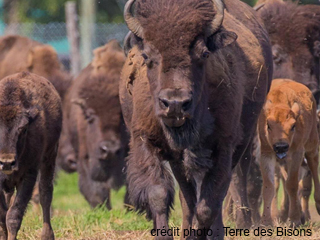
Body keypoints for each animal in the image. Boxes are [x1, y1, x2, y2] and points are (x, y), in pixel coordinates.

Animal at [0, 71, 62, 240]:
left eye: (23, 129)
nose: (7, 162)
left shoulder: (28, 175)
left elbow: (14, 215)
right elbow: (2, 213)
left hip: (49, 157)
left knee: (45, 193)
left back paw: (47, 235)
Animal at [120, 0, 272, 237]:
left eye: (204, 54)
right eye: (146, 57)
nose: (174, 103)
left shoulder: (223, 147)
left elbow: (207, 205)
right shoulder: (145, 141)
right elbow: (159, 195)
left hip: (243, 141)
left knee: (231, 184)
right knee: (188, 196)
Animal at [258, 79, 320, 227]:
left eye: (293, 125)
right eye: (268, 125)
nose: (281, 146)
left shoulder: (297, 153)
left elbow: (292, 184)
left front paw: (294, 220)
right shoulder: (266, 154)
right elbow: (269, 187)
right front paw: (265, 222)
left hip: (312, 145)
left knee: (314, 168)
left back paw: (317, 205)